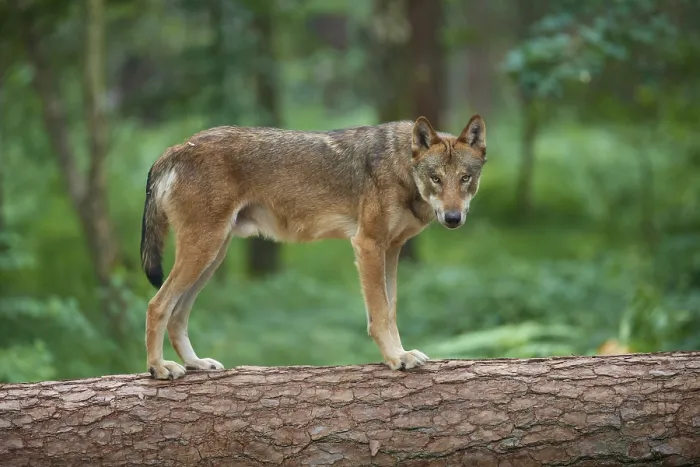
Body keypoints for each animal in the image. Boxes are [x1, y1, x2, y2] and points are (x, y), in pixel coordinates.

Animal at [140, 115, 487, 379]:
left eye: (465, 178)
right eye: (436, 178)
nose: (453, 218)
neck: (401, 166)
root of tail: (176, 148)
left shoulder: (392, 250)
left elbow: (391, 312)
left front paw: (401, 353)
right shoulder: (368, 245)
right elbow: (379, 315)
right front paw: (395, 358)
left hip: (213, 256)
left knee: (177, 314)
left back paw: (194, 363)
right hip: (203, 251)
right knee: (157, 305)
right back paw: (159, 368)